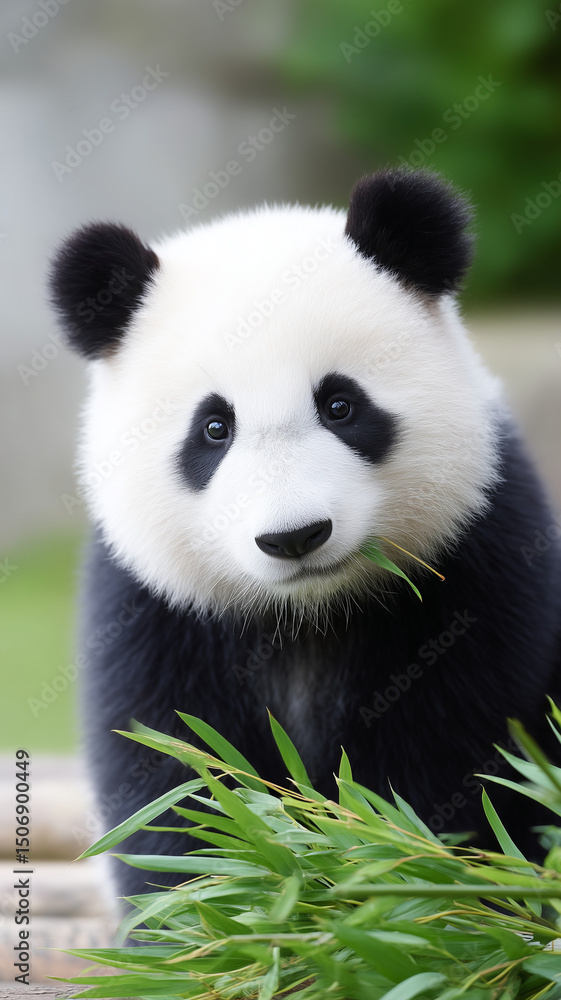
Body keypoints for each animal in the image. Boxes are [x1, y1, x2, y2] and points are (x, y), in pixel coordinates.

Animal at [49, 169, 561, 898]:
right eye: (214, 428)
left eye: (339, 405)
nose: (295, 537)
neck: (308, 615)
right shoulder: (154, 608)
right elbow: (178, 777)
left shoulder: (471, 560)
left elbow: (443, 763)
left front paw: (392, 871)